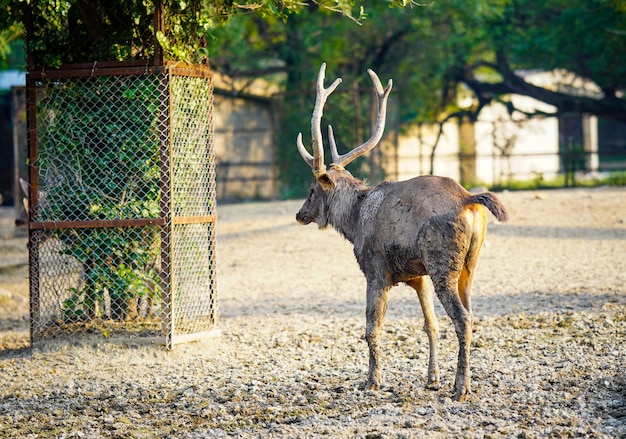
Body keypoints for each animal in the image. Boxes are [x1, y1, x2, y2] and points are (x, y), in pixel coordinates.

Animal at [294, 63, 508, 404]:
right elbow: (429, 324)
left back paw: (460, 388)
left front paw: (372, 381)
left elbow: (372, 327)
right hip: (469, 265)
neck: (354, 222)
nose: (300, 214)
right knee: (471, 315)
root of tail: (469, 199)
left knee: (462, 318)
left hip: (442, 261)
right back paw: (465, 382)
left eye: (312, 189)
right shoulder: (417, 275)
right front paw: (432, 378)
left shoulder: (376, 270)